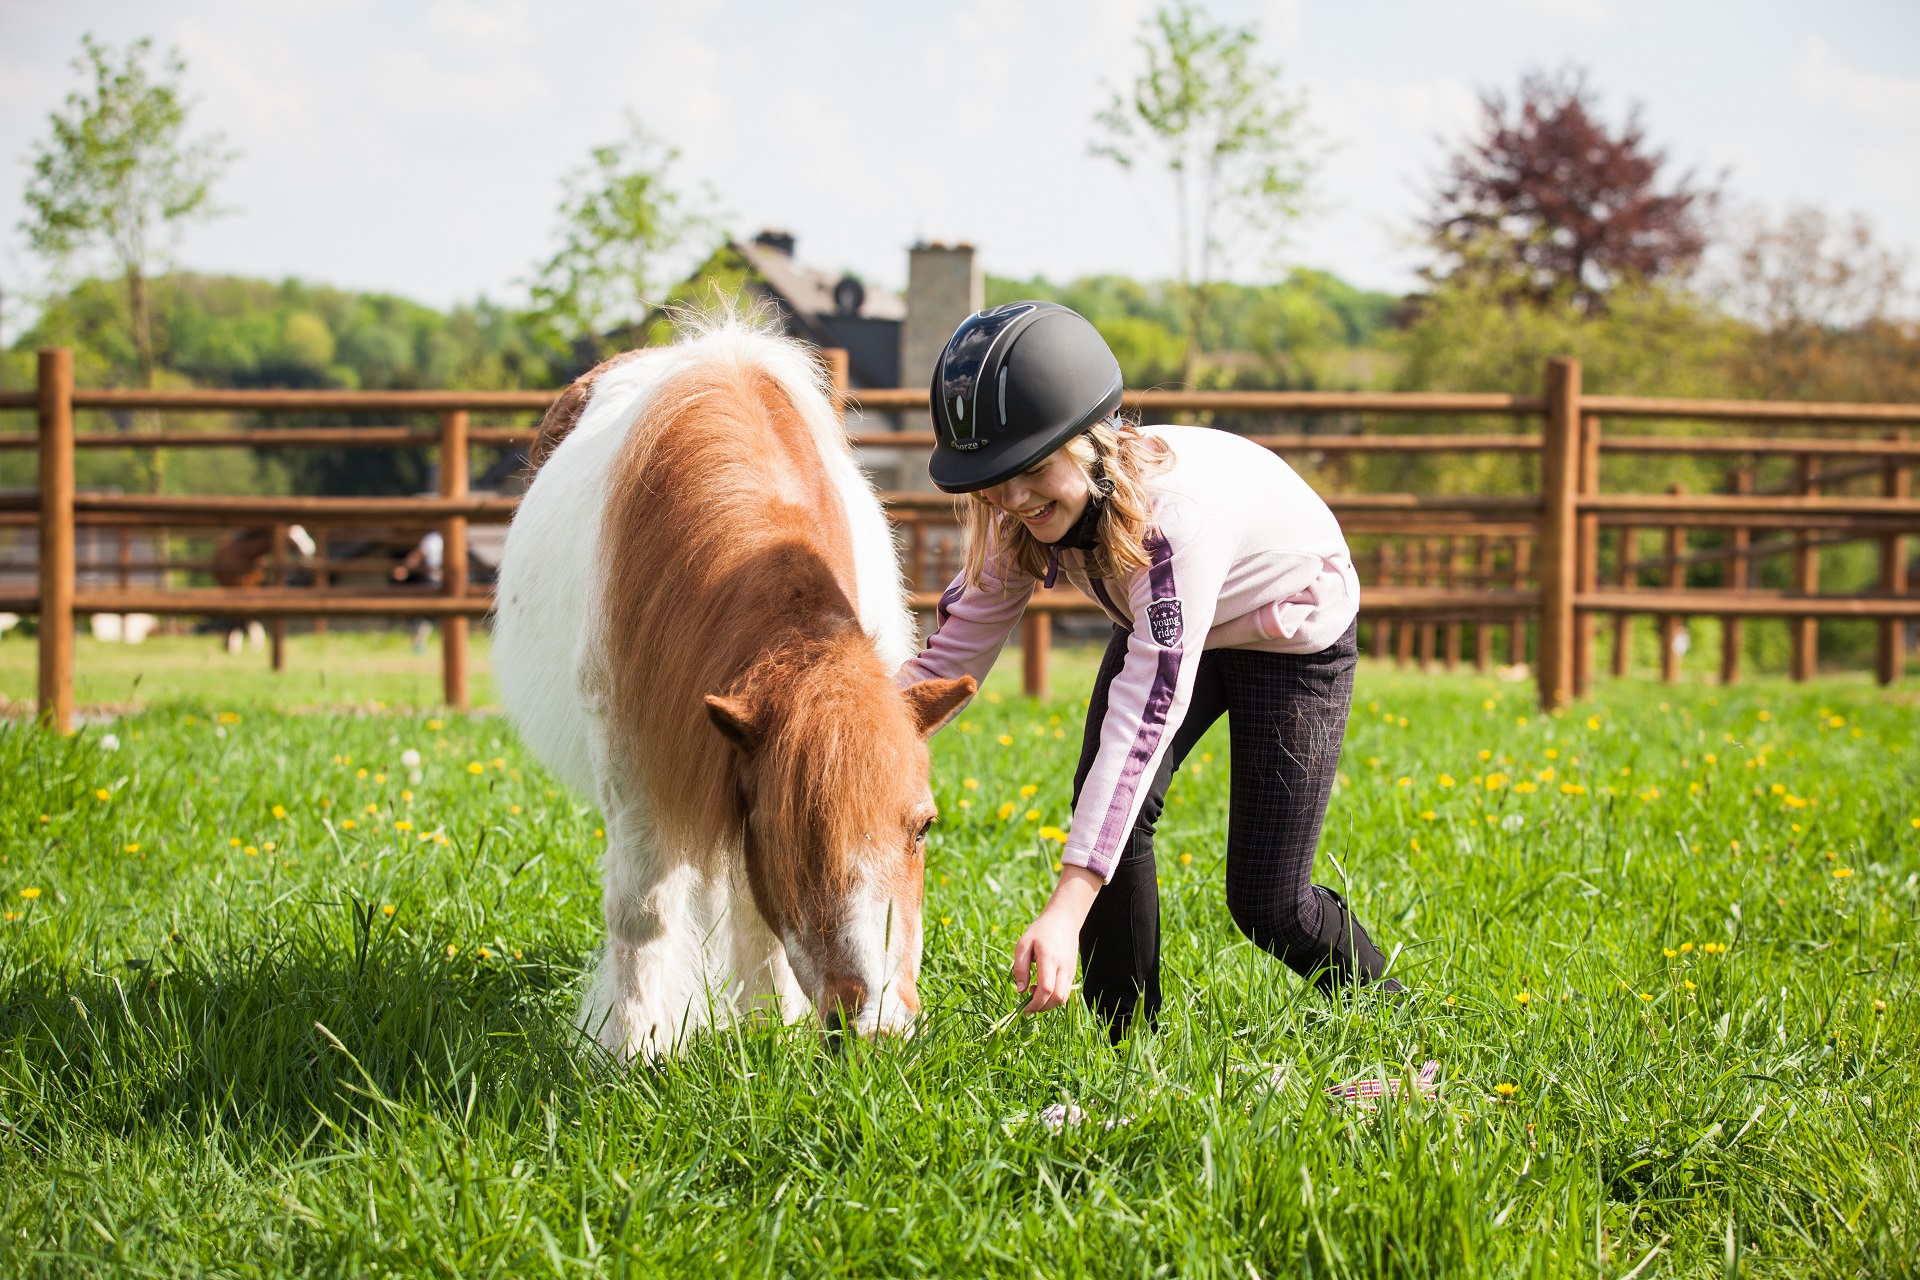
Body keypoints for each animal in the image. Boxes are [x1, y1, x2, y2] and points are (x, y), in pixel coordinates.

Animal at [492, 320, 973, 1061]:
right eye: (792, 831)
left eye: (923, 827)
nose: (877, 1028)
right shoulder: (643, 766)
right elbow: (643, 910)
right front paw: (635, 1049)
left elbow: (752, 909)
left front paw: (768, 1025)